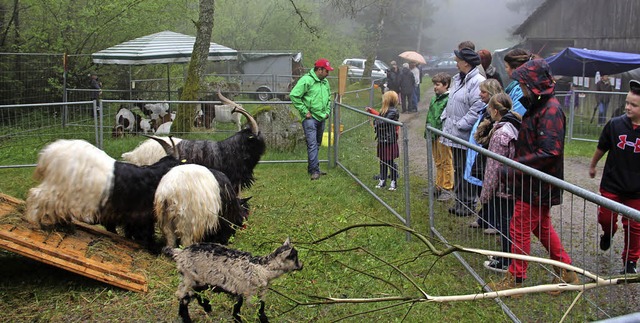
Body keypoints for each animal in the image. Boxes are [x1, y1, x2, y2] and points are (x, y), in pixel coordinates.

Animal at [24, 135, 182, 247]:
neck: (155, 176)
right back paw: (37, 223)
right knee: (36, 195)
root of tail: (48, 155)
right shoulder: (140, 215)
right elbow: (144, 233)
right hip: (58, 189)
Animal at [165, 238, 304, 323]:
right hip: (189, 278)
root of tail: (180, 253)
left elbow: (246, 308)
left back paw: (207, 307)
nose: (301, 265)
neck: (263, 268)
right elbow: (254, 310)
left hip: (198, 280)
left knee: (195, 294)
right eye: (295, 257)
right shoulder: (250, 293)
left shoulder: (252, 292)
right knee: (183, 297)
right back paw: (187, 317)